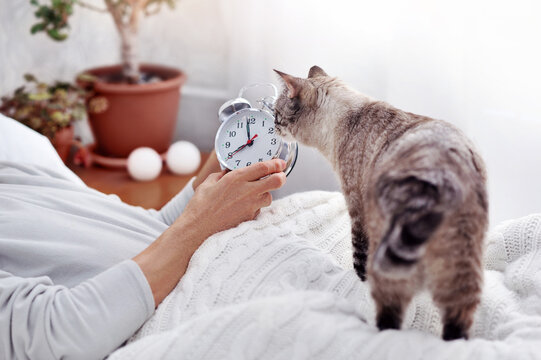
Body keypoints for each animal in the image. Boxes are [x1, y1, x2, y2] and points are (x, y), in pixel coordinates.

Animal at [272, 67, 488, 340]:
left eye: (276, 113)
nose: (272, 125)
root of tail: (441, 175)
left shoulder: (357, 209)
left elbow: (359, 259)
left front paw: (359, 281)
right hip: (462, 272)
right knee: (457, 327)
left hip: (391, 265)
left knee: (389, 321)